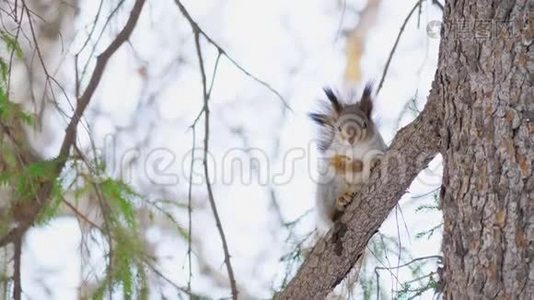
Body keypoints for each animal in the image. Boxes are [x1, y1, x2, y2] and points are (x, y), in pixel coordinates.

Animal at [310, 84, 390, 232]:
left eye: (364, 124)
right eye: (339, 128)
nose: (351, 139)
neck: (355, 149)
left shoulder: (379, 147)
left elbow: (376, 156)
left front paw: (372, 162)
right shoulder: (331, 155)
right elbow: (337, 163)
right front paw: (356, 165)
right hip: (327, 189)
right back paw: (343, 200)